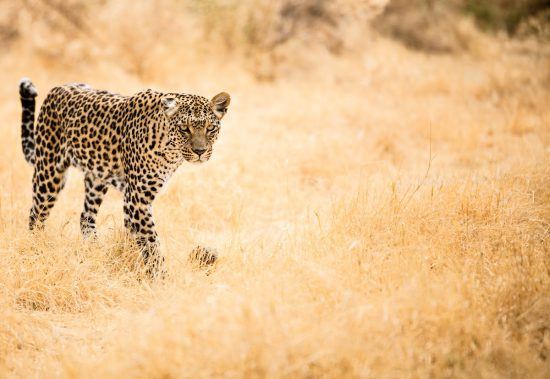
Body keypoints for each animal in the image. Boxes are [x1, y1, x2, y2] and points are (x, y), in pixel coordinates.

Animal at [18, 78, 231, 280]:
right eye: (184, 128)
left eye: (210, 128)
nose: (200, 151)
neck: (170, 150)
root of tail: (58, 88)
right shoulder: (138, 198)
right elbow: (151, 241)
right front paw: (161, 279)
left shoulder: (133, 199)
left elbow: (134, 237)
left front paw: (133, 266)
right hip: (49, 172)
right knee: (36, 214)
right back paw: (36, 250)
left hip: (97, 178)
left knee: (86, 217)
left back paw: (95, 251)